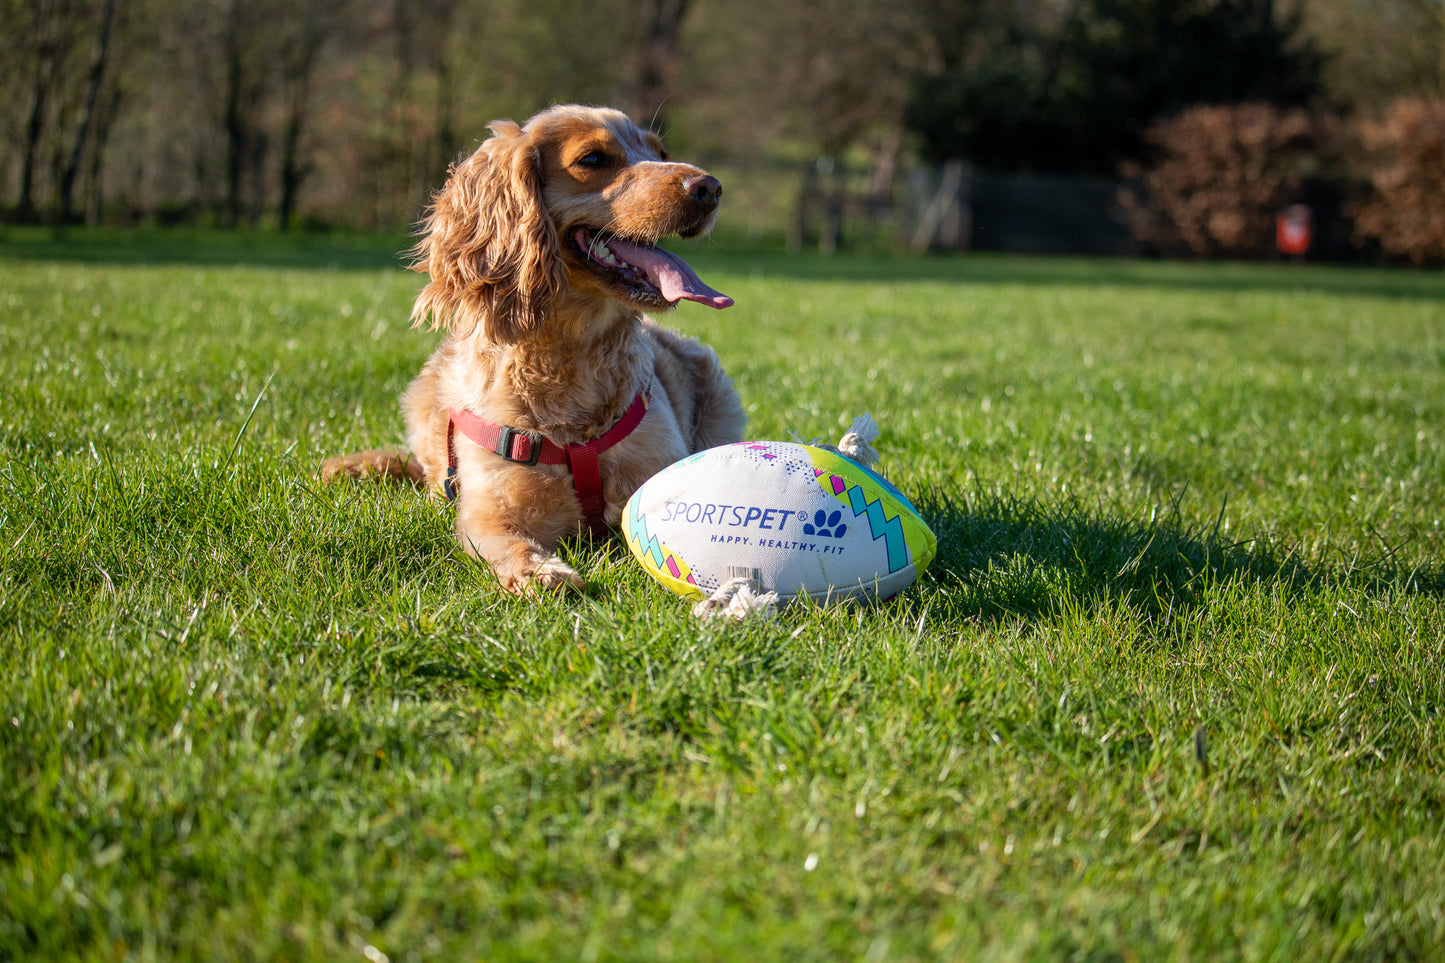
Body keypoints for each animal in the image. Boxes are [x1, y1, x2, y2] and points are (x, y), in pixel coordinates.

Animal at [323, 104, 751, 592]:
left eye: (660, 153)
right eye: (592, 159)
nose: (710, 188)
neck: (571, 359)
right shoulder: (490, 510)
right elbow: (509, 545)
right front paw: (542, 572)